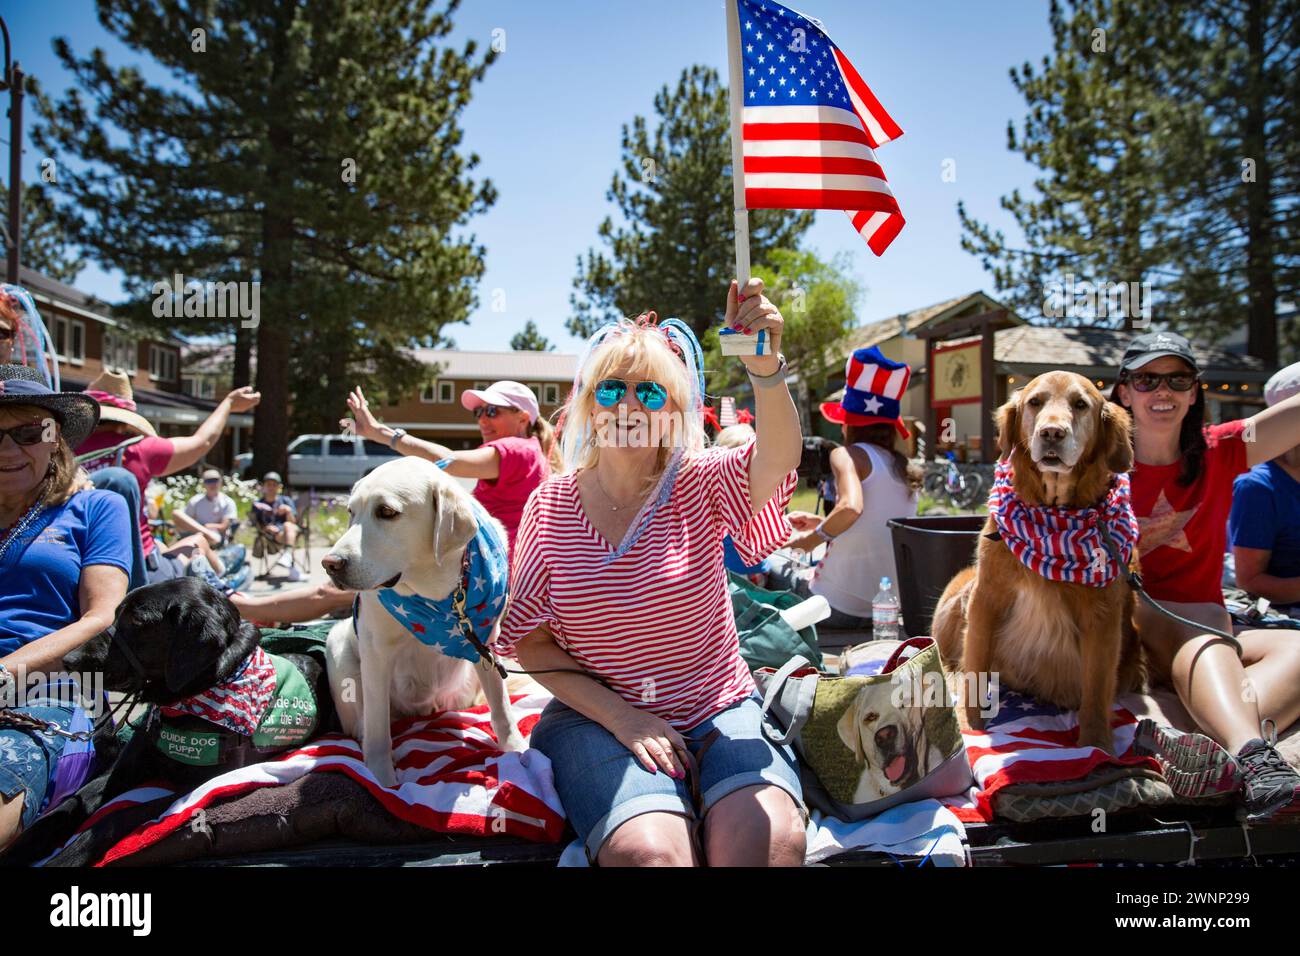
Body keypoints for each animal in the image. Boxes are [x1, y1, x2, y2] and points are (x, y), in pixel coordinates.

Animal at [3, 574, 335, 868]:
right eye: (116, 614)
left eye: (137, 621)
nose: (68, 660)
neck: (185, 702)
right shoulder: (119, 774)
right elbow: (69, 805)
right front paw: (22, 847)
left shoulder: (196, 789)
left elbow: (114, 818)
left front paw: (67, 857)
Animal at [321, 460, 522, 790]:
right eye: (351, 512)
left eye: (386, 512)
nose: (330, 564)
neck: (438, 594)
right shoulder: (375, 651)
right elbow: (377, 727)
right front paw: (381, 779)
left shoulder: (485, 642)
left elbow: (501, 707)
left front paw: (515, 748)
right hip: (338, 646)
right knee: (364, 722)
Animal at [935, 369, 1149, 749]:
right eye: (1035, 402)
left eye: (1080, 404)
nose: (1052, 433)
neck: (1053, 513)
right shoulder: (986, 595)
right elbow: (974, 663)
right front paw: (969, 724)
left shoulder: (1103, 616)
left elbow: (1096, 691)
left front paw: (1097, 746)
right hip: (963, 588)